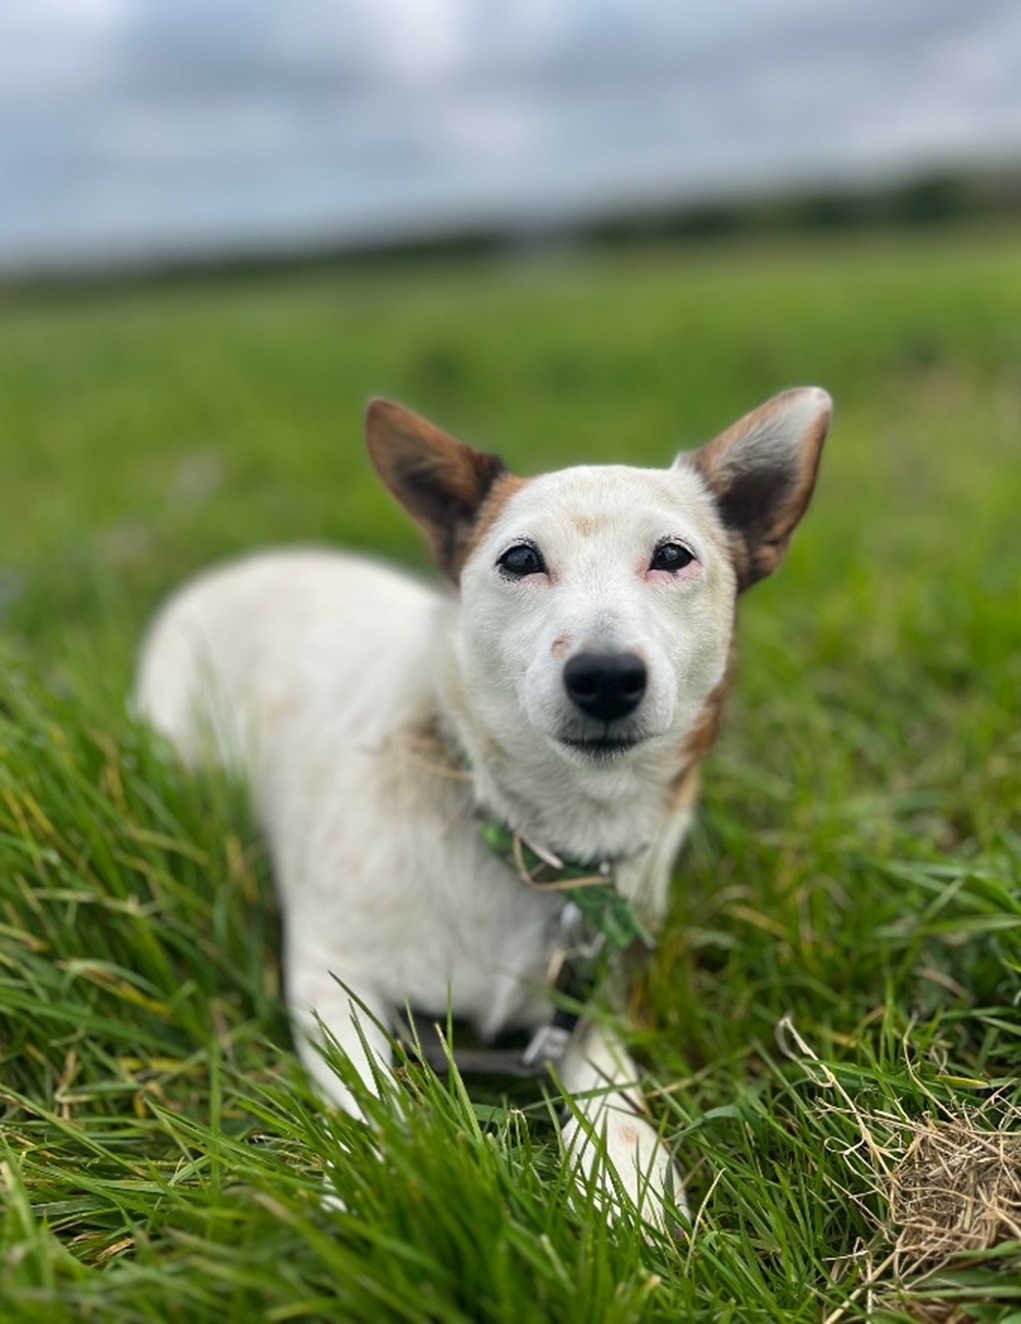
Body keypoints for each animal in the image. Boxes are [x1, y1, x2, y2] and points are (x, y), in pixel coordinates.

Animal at [135, 386, 836, 1223]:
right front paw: (380, 1177)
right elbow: (368, 1091)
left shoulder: (586, 996)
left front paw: (624, 1178)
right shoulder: (326, 974)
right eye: (520, 559)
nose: (605, 676)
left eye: (672, 555)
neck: (529, 834)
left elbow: (612, 1088)